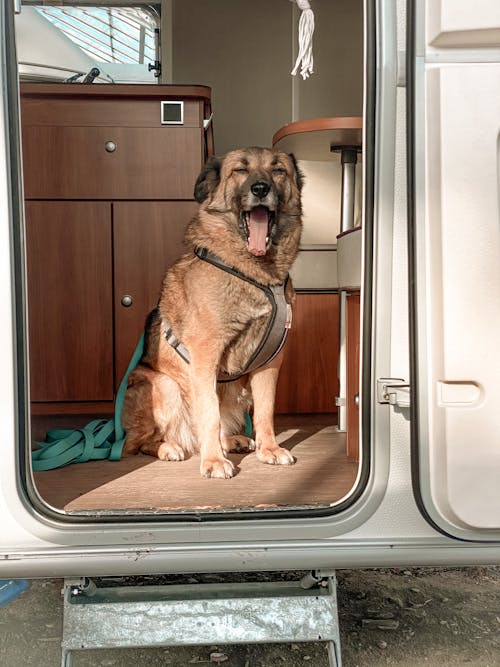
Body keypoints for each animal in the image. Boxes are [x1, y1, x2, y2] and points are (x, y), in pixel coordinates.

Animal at [121, 148, 304, 478]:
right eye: (240, 170)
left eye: (278, 170)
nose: (260, 189)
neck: (254, 273)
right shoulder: (206, 354)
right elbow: (208, 412)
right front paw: (214, 462)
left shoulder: (271, 361)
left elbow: (266, 411)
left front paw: (269, 449)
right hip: (165, 386)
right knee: (140, 443)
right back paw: (172, 447)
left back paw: (231, 442)